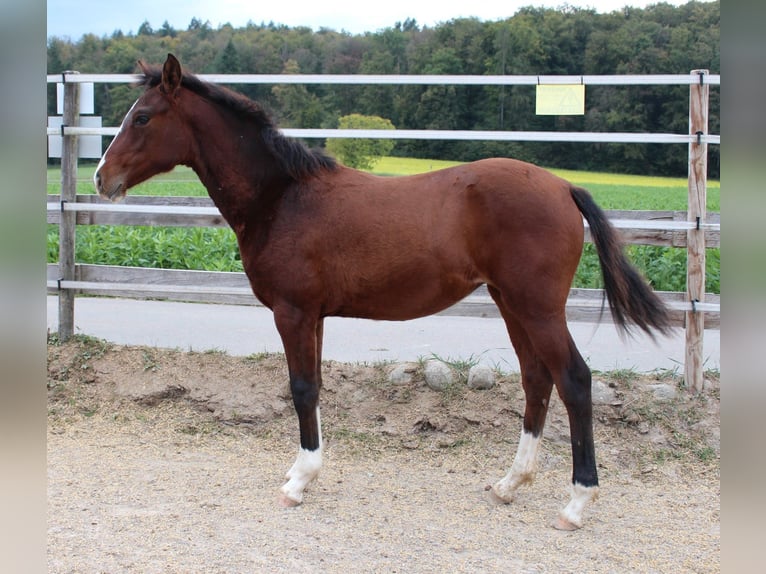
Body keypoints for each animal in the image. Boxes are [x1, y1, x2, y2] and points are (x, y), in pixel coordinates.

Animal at [94, 54, 672, 532]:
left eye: (142, 117)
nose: (101, 178)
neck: (283, 197)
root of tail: (562, 187)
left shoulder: (293, 312)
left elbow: (301, 388)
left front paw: (298, 482)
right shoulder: (315, 316)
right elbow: (314, 387)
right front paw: (305, 474)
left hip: (538, 307)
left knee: (574, 380)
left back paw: (576, 504)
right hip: (512, 304)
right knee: (537, 380)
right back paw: (509, 485)